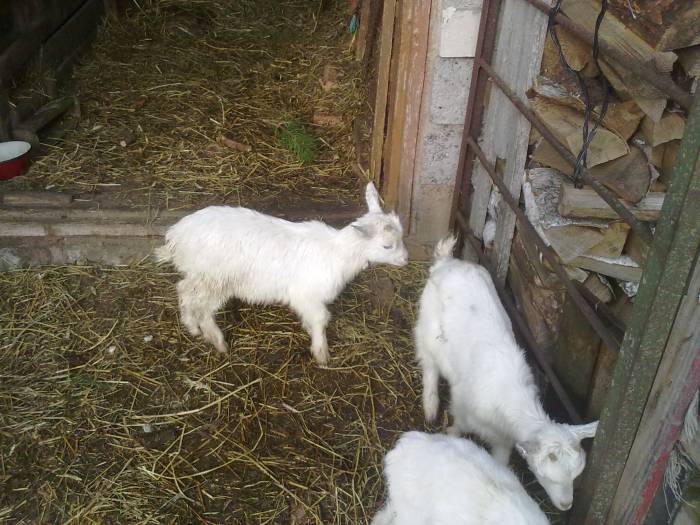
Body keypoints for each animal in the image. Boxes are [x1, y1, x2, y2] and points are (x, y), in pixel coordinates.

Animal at [156, 183, 408, 364]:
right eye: (387, 245)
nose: (406, 259)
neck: (337, 253)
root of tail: (176, 236)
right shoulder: (305, 294)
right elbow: (321, 319)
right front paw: (321, 353)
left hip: (198, 275)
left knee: (184, 290)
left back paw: (191, 327)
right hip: (216, 279)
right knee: (204, 308)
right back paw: (217, 341)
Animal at [414, 235, 597, 511]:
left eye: (576, 476)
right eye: (545, 475)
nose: (566, 506)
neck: (510, 396)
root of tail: (446, 263)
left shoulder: (503, 440)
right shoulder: (463, 406)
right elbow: (459, 425)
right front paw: (450, 434)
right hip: (428, 329)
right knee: (429, 366)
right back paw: (431, 406)